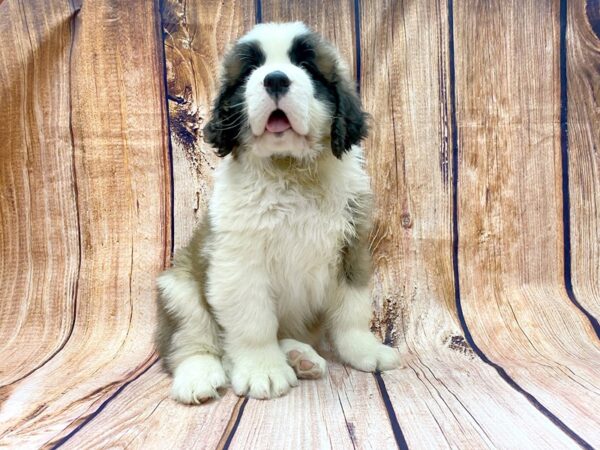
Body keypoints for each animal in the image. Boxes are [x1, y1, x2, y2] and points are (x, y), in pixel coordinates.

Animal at [157, 22, 400, 404]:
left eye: (306, 65)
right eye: (251, 70)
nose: (274, 79)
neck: (290, 171)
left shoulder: (351, 249)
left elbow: (353, 311)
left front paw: (365, 350)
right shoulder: (238, 264)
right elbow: (254, 324)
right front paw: (263, 370)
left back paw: (299, 355)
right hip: (177, 287)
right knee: (192, 342)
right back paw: (199, 375)